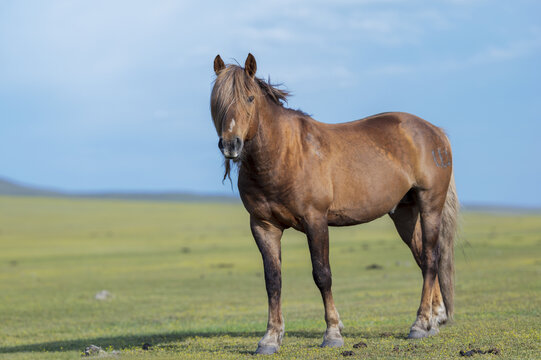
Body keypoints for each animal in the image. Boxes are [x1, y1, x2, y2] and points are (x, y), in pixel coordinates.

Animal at [209, 53, 458, 354]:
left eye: (249, 98)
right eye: (216, 100)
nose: (230, 145)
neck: (282, 154)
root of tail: (435, 132)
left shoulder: (315, 221)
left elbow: (322, 274)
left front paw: (332, 333)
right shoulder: (263, 226)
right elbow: (273, 280)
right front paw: (270, 337)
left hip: (430, 204)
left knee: (432, 259)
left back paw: (420, 324)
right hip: (404, 213)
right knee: (422, 258)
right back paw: (434, 319)